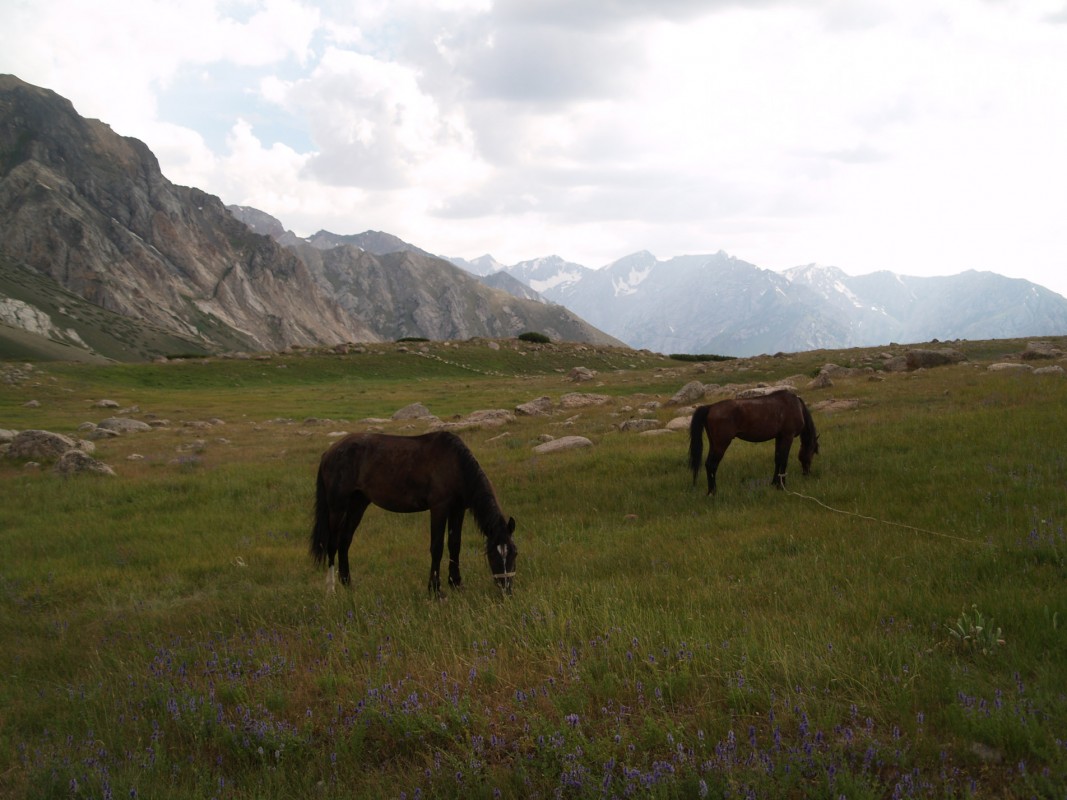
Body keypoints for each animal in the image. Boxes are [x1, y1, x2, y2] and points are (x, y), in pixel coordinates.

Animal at [311, 433, 518, 597]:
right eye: (493, 554)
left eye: (514, 553)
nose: (506, 590)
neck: (455, 465)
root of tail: (329, 452)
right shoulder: (439, 508)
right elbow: (437, 547)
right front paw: (435, 590)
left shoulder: (458, 510)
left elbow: (455, 545)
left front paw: (456, 583)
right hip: (337, 507)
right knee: (332, 544)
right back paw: (331, 589)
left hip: (358, 504)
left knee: (345, 542)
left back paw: (348, 584)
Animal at [687, 390, 819, 494]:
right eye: (813, 452)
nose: (807, 473)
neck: (795, 405)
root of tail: (710, 407)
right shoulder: (788, 437)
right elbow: (784, 460)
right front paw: (782, 486)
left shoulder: (779, 437)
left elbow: (777, 459)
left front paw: (774, 483)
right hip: (721, 444)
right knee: (711, 465)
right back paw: (713, 492)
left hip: (714, 444)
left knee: (708, 465)